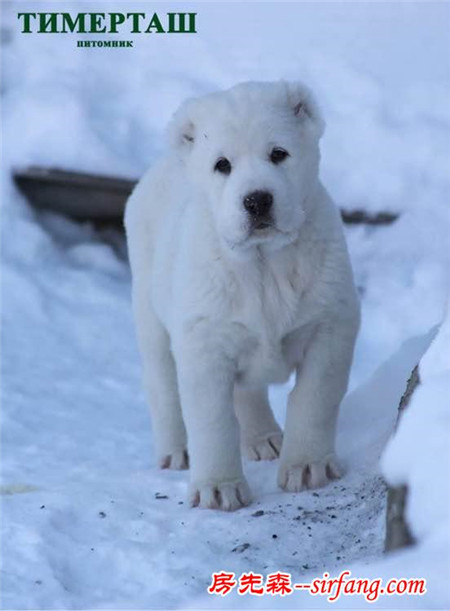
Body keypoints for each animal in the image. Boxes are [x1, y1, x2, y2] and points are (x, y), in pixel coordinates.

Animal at [125, 81, 360, 512]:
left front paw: (308, 467)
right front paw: (219, 488)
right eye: (222, 165)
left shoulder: (330, 323)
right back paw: (176, 452)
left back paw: (263, 437)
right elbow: (211, 419)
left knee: (246, 389)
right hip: (150, 312)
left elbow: (315, 397)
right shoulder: (203, 340)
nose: (257, 200)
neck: (264, 264)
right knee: (162, 384)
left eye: (278, 153)